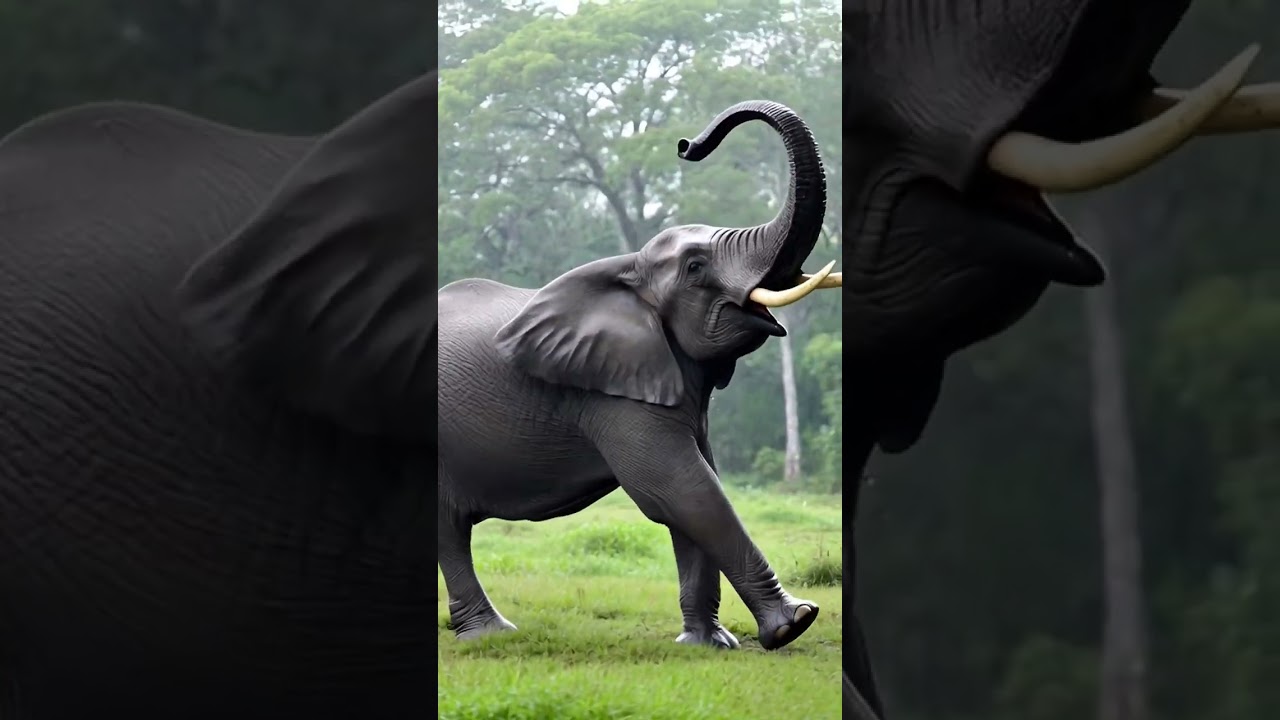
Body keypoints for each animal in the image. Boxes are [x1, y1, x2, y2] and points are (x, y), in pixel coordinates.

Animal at [437, 100, 840, 652]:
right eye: (695, 267)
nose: (688, 145)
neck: (628, 270)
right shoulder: (611, 397)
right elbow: (677, 488)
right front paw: (795, 622)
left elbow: (697, 484)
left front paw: (707, 645)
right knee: (446, 528)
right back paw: (489, 636)